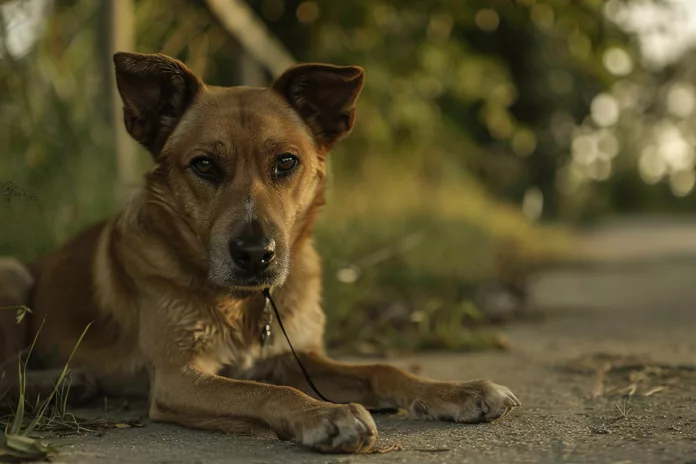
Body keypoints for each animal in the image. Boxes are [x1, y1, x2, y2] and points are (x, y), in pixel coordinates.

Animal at [0, 51, 520, 454]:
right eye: (204, 165)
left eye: (286, 162)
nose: (255, 254)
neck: (246, 304)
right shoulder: (176, 376)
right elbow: (260, 393)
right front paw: (323, 415)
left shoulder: (293, 355)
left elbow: (381, 367)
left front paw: (458, 391)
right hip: (12, 276)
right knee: (6, 373)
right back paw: (66, 382)